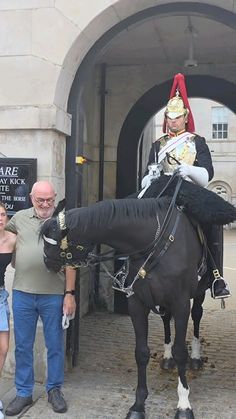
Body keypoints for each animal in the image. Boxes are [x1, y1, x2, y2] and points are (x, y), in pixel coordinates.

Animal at [39, 188, 236, 419]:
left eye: (52, 242)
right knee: (166, 320)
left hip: (198, 293)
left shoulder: (180, 304)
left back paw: (195, 357)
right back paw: (167, 357)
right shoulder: (137, 303)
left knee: (197, 315)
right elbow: (141, 353)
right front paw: (138, 404)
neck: (152, 243)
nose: (46, 263)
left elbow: (181, 351)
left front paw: (184, 404)